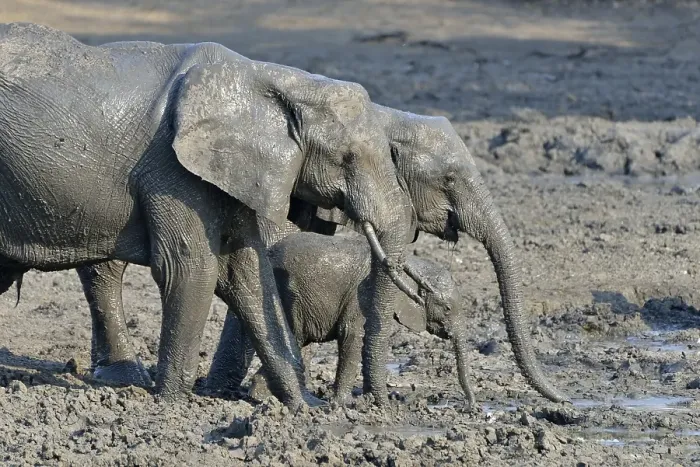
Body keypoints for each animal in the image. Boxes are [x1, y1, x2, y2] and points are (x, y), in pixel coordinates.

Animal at [0, 23, 421, 407]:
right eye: (346, 158)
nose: (375, 404)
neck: (268, 78)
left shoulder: (232, 174)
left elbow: (248, 273)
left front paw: (304, 407)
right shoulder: (171, 168)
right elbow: (192, 267)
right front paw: (169, 406)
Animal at [207, 230, 477, 408]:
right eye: (447, 308)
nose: (471, 406)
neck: (411, 263)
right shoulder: (361, 296)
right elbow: (352, 336)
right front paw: (343, 405)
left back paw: (263, 397)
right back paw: (265, 398)